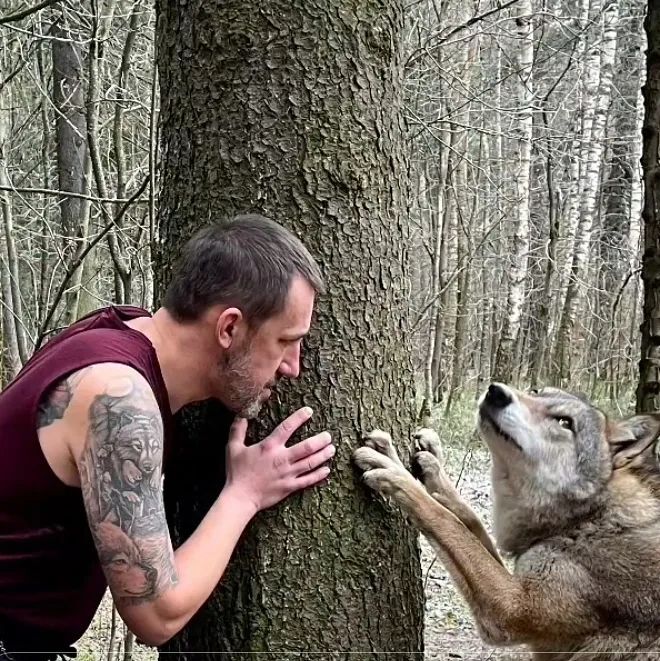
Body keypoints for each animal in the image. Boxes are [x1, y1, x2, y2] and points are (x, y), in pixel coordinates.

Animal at [356, 384, 660, 656]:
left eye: (565, 422)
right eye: (536, 391)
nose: (496, 391)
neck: (588, 518)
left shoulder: (510, 610)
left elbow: (445, 520)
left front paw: (396, 472)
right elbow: (467, 518)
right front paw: (429, 462)